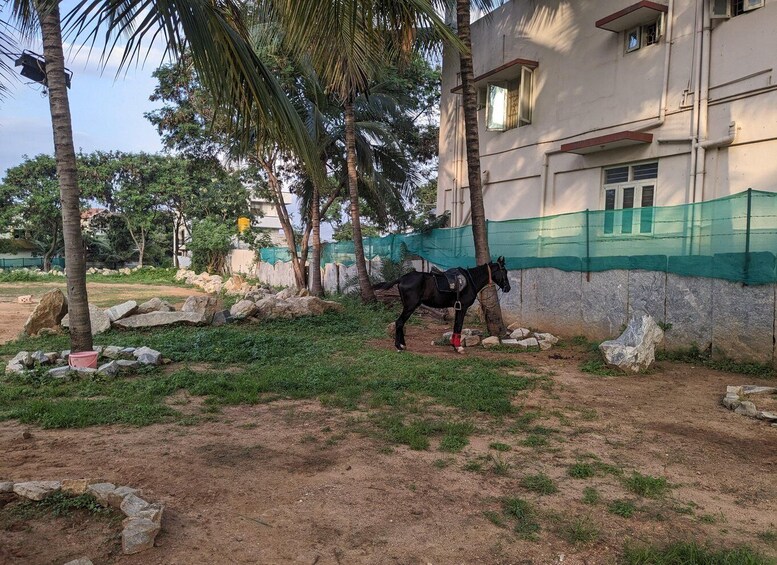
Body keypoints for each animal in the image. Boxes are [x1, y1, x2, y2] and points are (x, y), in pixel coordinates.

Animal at [373, 256, 511, 353]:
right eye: (504, 271)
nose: (508, 288)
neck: (470, 281)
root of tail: (401, 278)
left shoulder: (458, 308)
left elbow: (456, 326)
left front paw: (454, 345)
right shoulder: (463, 307)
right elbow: (458, 326)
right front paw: (458, 347)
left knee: (401, 323)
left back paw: (402, 344)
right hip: (410, 306)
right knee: (399, 322)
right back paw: (398, 346)